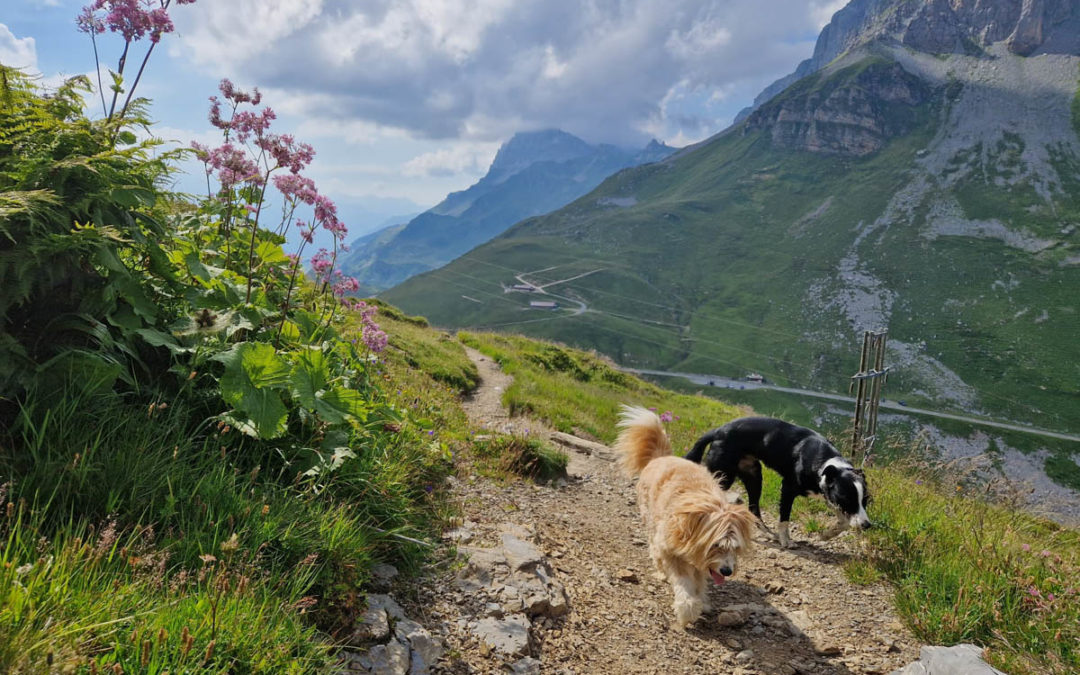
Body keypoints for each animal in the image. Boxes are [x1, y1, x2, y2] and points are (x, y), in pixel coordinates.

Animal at [613, 401, 756, 630]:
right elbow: (684, 582)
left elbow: (699, 580)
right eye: (716, 545)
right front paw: (688, 608)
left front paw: (702, 601)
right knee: (654, 548)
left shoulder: (699, 559)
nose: (727, 571)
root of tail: (662, 456)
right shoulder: (672, 551)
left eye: (735, 547)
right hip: (650, 521)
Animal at [686, 416, 872, 548]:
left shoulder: (828, 494)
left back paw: (768, 533)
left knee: (753, 508)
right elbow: (784, 518)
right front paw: (786, 541)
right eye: (847, 498)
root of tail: (718, 431)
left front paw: (827, 535)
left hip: (754, 475)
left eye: (866, 500)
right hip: (724, 475)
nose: (867, 525)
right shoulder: (788, 488)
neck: (824, 462)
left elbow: (843, 522)